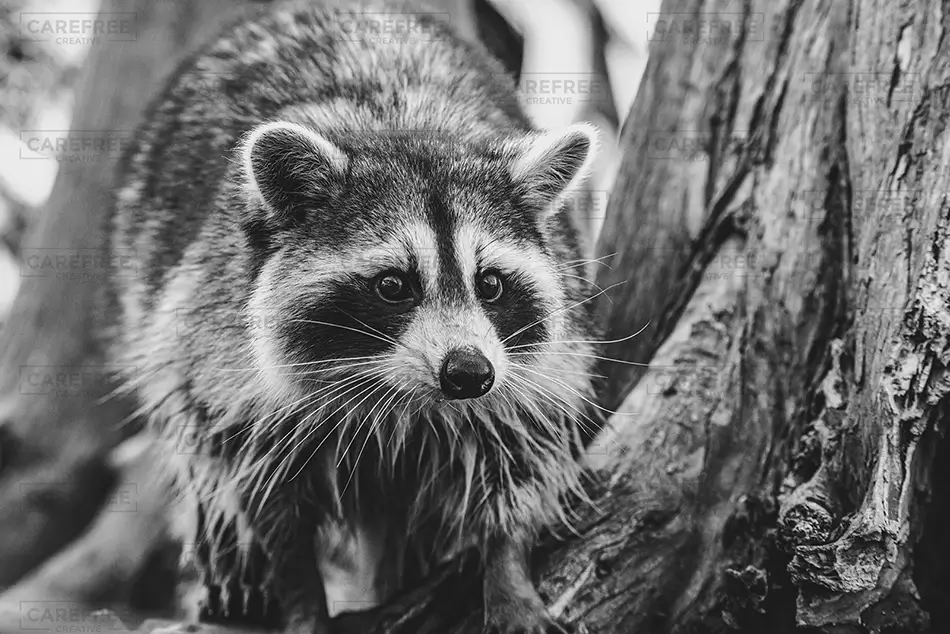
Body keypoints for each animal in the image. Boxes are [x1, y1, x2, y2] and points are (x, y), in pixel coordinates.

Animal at [109, 1, 602, 632]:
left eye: (490, 284)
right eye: (393, 286)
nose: (469, 373)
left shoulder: (534, 371)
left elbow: (520, 454)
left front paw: (507, 567)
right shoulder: (220, 354)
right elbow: (264, 501)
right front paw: (299, 600)